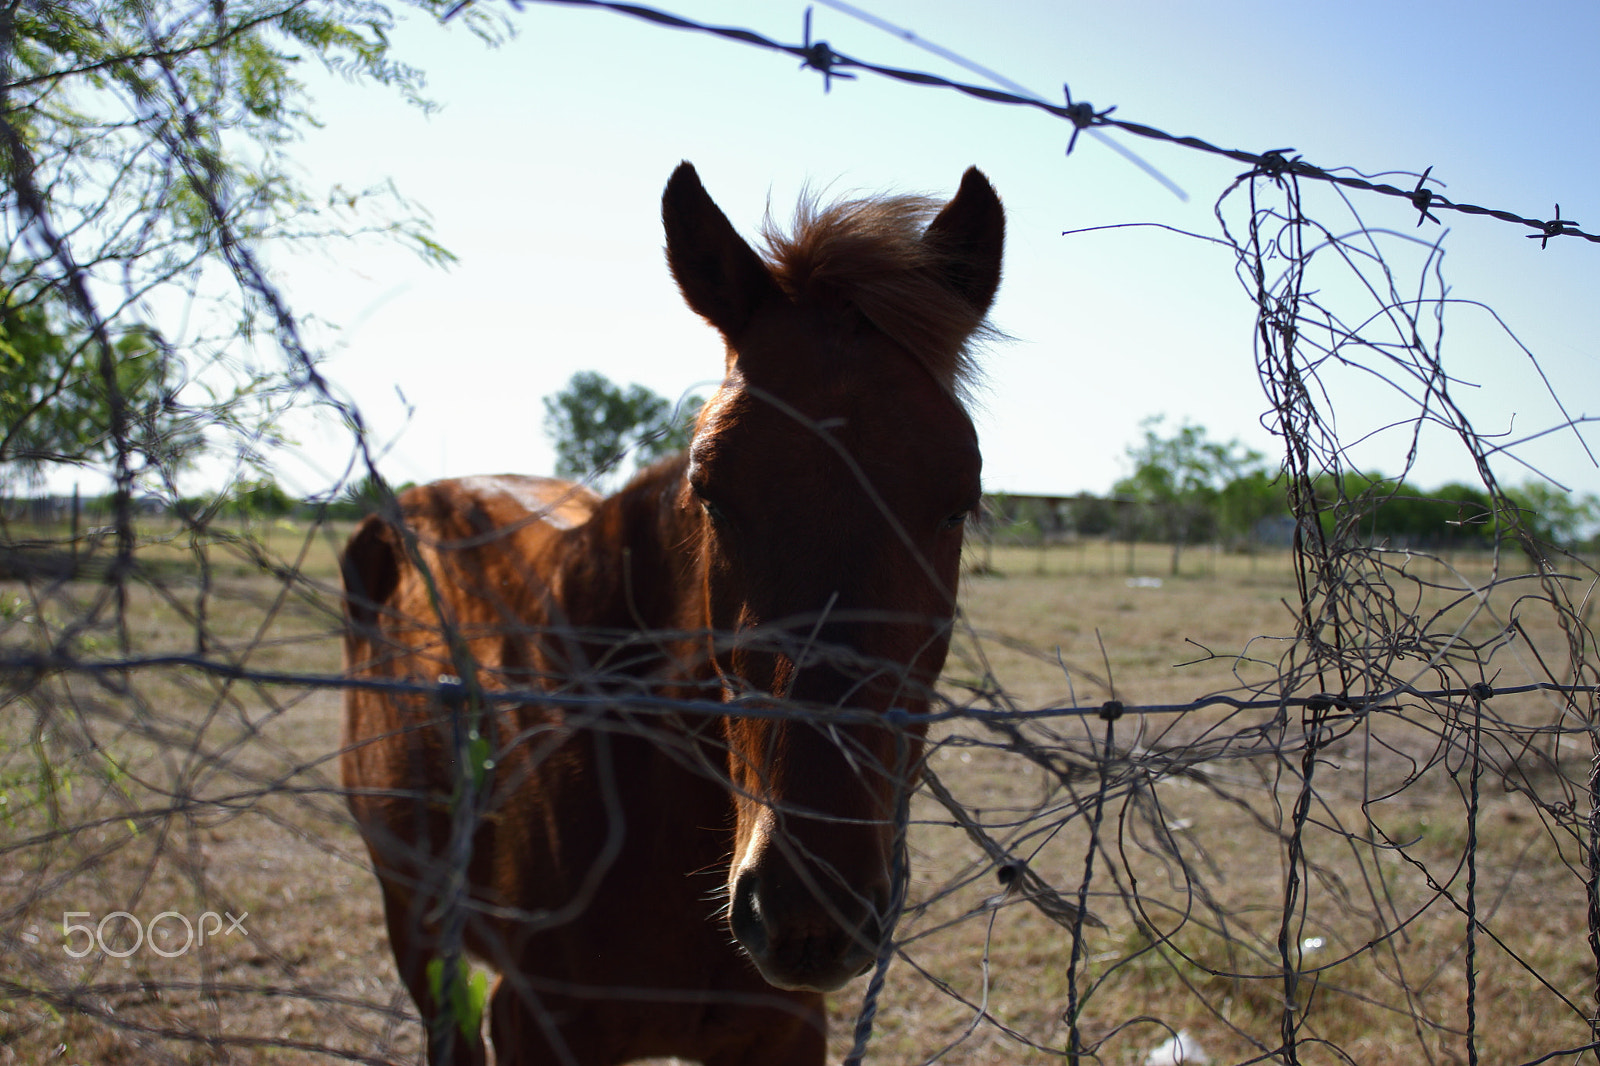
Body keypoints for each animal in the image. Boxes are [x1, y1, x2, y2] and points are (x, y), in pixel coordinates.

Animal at [339, 161, 1003, 1065]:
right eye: (710, 489)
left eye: (959, 499)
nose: (811, 907)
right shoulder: (533, 1024)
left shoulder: (784, 1032)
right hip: (411, 914)